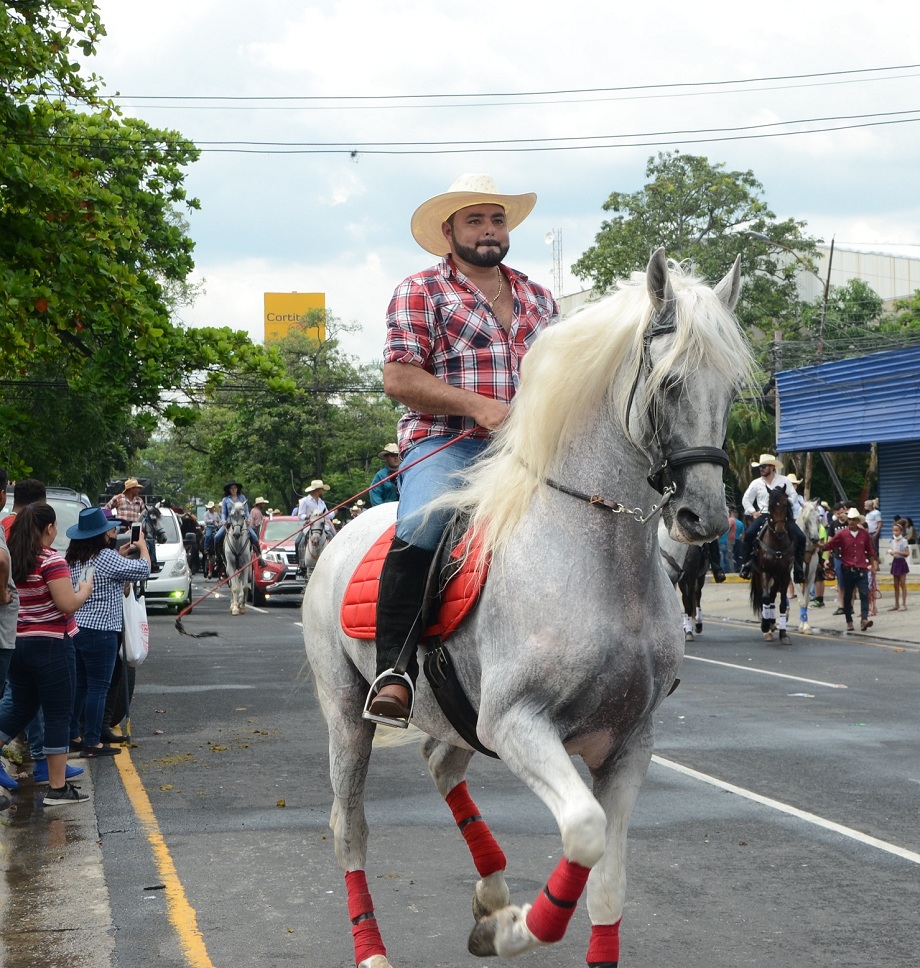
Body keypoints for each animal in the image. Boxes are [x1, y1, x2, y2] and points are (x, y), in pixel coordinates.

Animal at [298, 251, 752, 968]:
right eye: (671, 382)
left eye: (732, 388)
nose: (702, 516)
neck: (599, 567)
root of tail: (338, 533)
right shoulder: (518, 724)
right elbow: (585, 832)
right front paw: (515, 929)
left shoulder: (630, 743)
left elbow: (608, 884)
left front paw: (499, 921)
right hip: (347, 712)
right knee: (350, 825)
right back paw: (373, 948)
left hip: (459, 718)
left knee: (439, 764)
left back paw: (488, 893)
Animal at [752, 484, 796, 644]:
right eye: (770, 505)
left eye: (785, 504)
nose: (780, 530)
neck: (777, 543)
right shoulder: (765, 571)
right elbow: (764, 598)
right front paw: (764, 625)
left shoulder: (785, 575)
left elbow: (782, 603)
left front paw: (783, 634)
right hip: (759, 574)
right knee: (765, 596)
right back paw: (767, 626)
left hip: (777, 578)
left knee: (771, 596)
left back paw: (772, 623)